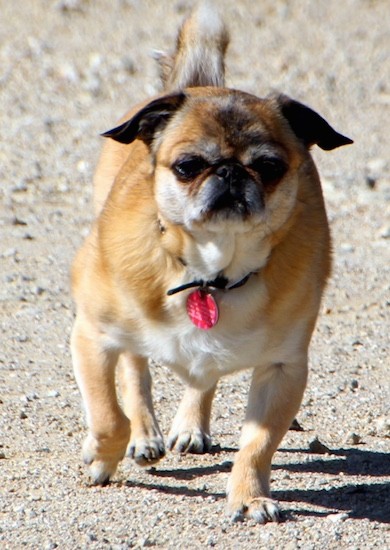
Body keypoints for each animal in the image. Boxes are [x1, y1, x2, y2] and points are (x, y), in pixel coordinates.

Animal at [71, 5, 354, 528]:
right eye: (186, 166)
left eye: (269, 167)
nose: (228, 171)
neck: (211, 271)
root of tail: (199, 83)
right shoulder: (91, 338)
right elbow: (108, 414)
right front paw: (101, 456)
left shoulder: (283, 371)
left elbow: (258, 444)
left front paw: (249, 495)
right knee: (135, 374)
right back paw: (144, 435)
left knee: (201, 379)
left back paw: (190, 426)